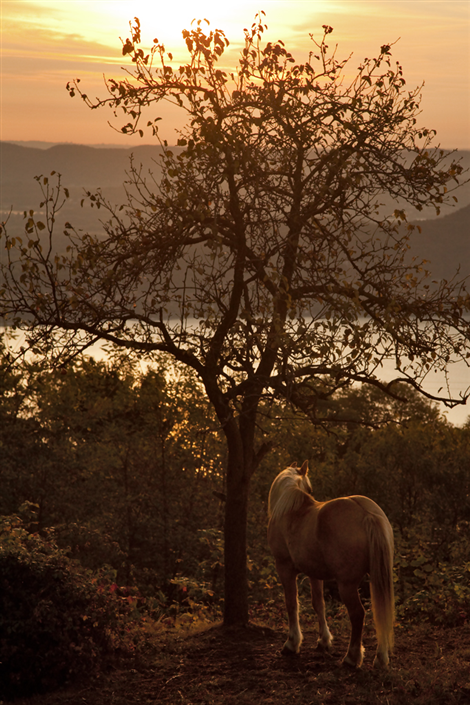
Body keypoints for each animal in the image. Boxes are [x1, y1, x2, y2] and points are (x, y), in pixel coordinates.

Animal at [267, 460, 394, 668]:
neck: (289, 510)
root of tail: (367, 513)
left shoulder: (284, 567)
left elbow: (291, 603)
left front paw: (292, 643)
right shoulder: (315, 573)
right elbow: (319, 604)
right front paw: (324, 641)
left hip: (347, 584)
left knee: (358, 614)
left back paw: (352, 657)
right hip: (377, 578)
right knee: (380, 613)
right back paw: (381, 658)